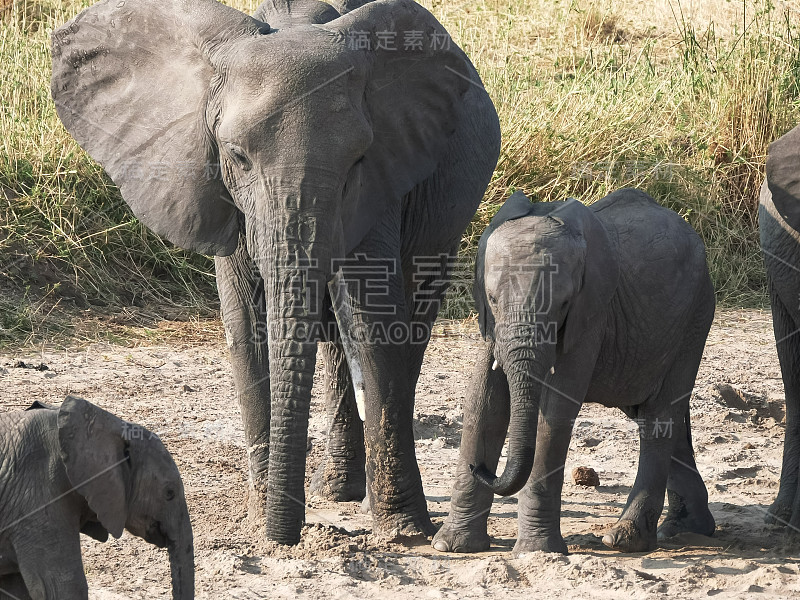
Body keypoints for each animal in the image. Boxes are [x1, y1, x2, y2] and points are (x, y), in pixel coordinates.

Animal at [48, 0, 500, 544]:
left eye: (357, 161)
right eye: (237, 156)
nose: (290, 534)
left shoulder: (385, 175)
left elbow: (373, 321)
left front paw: (403, 531)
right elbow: (245, 322)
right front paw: (263, 519)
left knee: (409, 316)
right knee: (332, 335)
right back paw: (337, 490)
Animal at [434, 190, 716, 556]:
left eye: (564, 304)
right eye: (493, 299)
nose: (479, 467)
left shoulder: (591, 315)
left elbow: (555, 410)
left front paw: (536, 552)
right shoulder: (492, 325)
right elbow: (484, 402)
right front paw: (451, 546)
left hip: (693, 318)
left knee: (659, 417)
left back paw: (624, 539)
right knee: (659, 416)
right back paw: (686, 529)